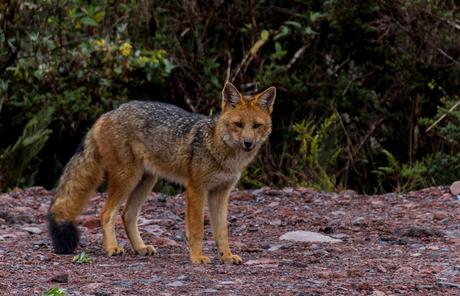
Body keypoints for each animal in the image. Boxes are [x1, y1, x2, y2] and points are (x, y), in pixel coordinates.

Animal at [48, 81, 274, 264]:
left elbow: (222, 231)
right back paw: (112, 247)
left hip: (146, 181)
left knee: (127, 215)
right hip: (127, 179)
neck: (219, 150)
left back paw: (140, 248)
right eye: (238, 125)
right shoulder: (196, 189)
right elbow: (197, 229)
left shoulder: (221, 193)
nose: (248, 143)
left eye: (256, 126)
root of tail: (108, 113)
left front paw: (226, 256)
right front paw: (197, 257)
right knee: (106, 213)